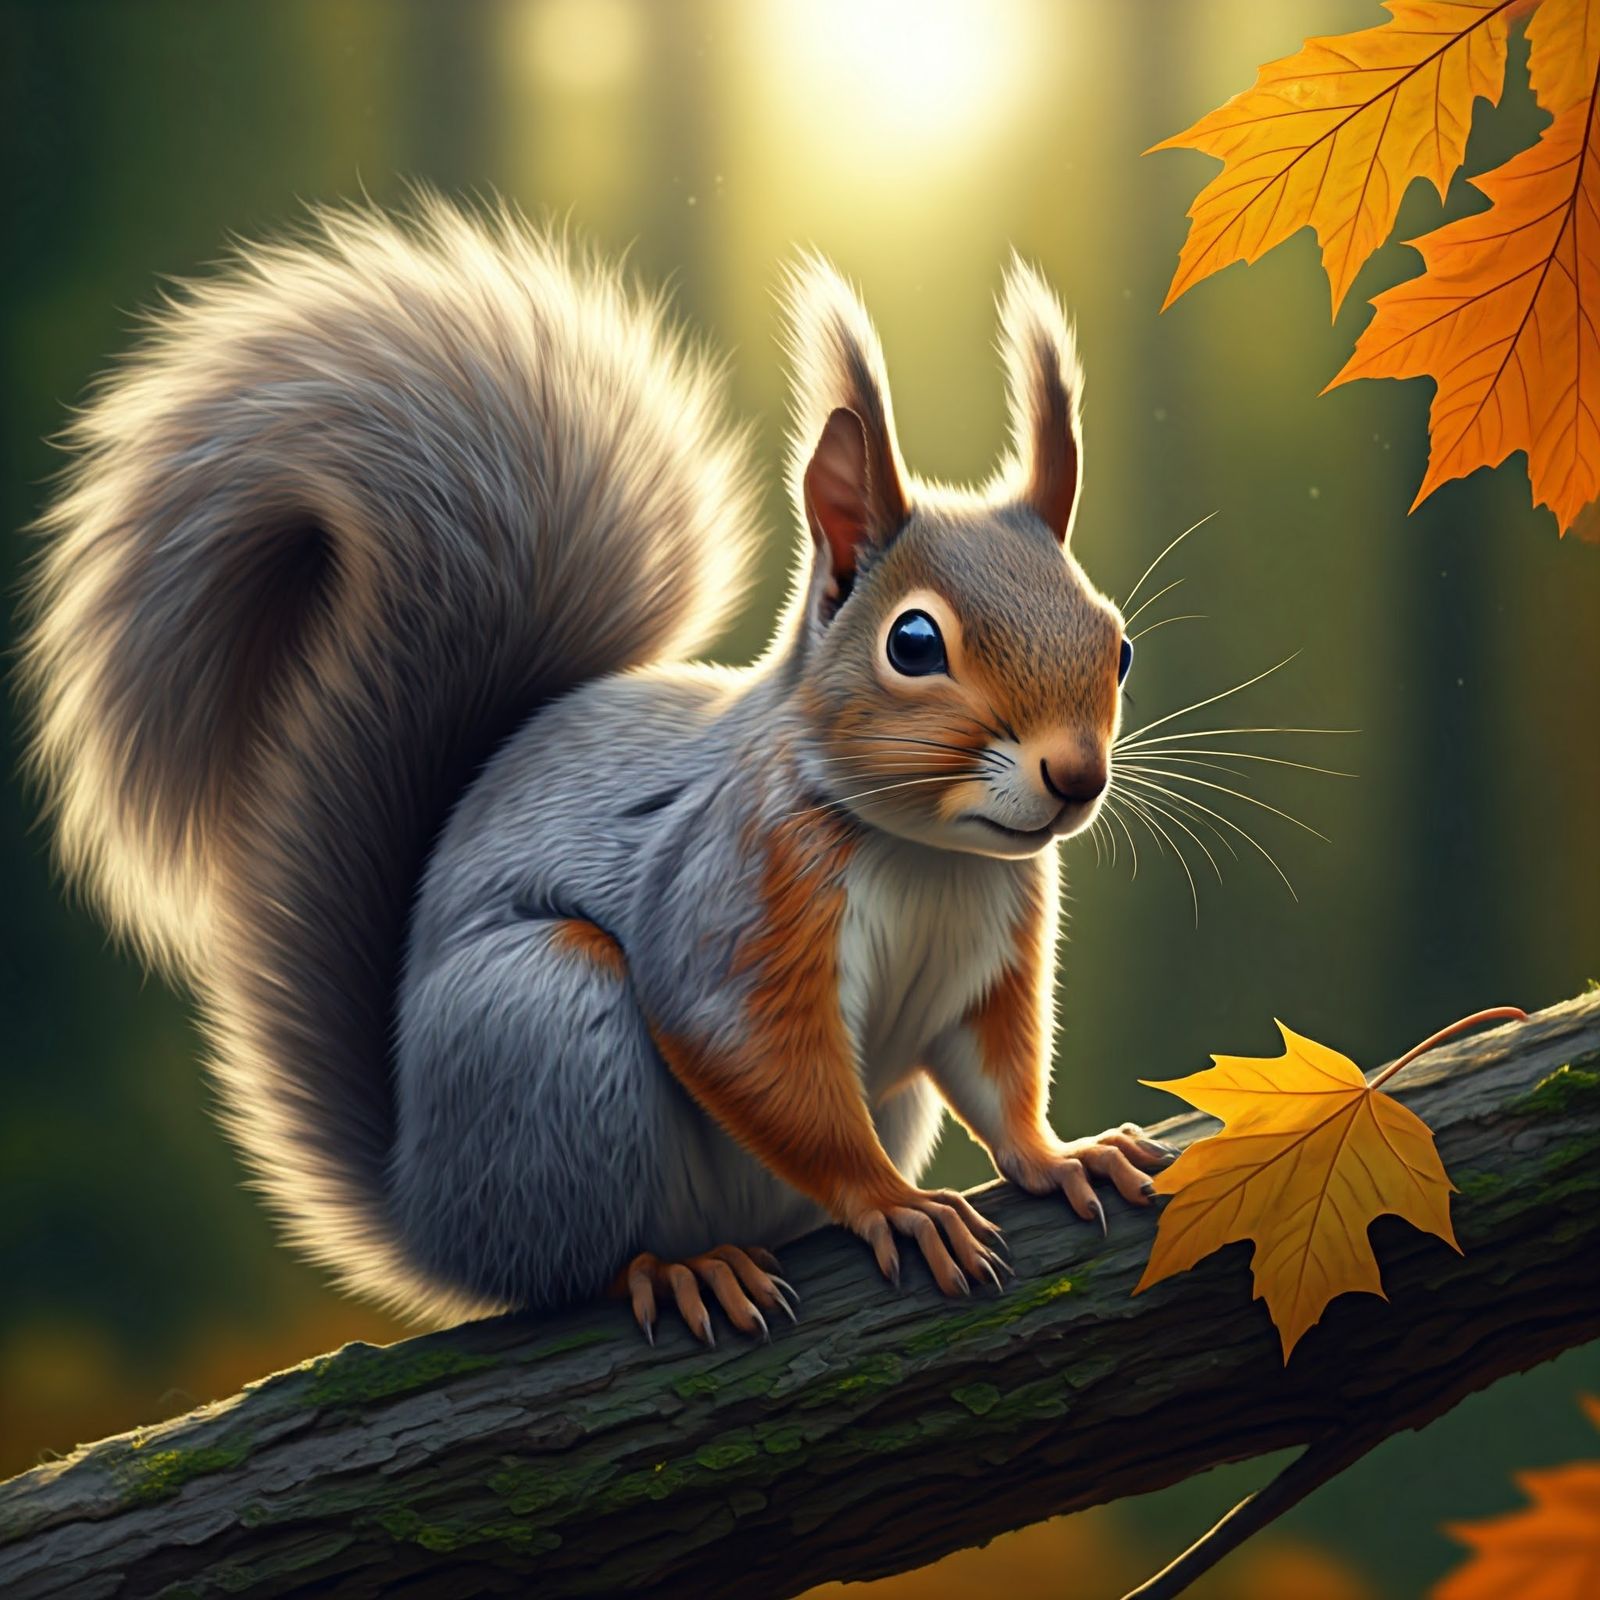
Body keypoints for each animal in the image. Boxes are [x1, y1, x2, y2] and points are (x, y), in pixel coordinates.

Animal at [20, 197, 1172, 1343]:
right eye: (916, 643)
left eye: (1117, 645)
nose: (1075, 776)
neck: (926, 854)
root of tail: (424, 1206)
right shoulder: (736, 887)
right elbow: (753, 1056)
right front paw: (893, 1202)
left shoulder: (995, 953)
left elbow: (998, 1075)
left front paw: (1058, 1155)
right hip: (548, 1027)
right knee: (573, 1260)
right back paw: (679, 1267)